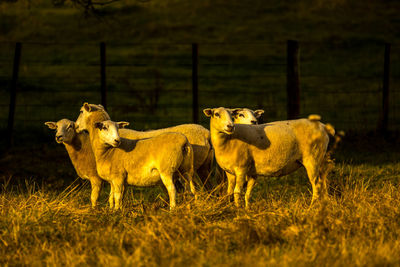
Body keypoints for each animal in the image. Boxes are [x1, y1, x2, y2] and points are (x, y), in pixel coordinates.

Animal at [203, 107, 334, 209]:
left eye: (231, 115)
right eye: (216, 114)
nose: (230, 126)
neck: (228, 140)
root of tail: (323, 126)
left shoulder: (241, 169)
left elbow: (237, 192)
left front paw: (238, 209)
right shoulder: (233, 172)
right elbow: (235, 192)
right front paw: (241, 208)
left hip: (312, 158)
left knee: (316, 184)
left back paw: (312, 206)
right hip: (321, 159)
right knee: (324, 181)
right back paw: (325, 203)